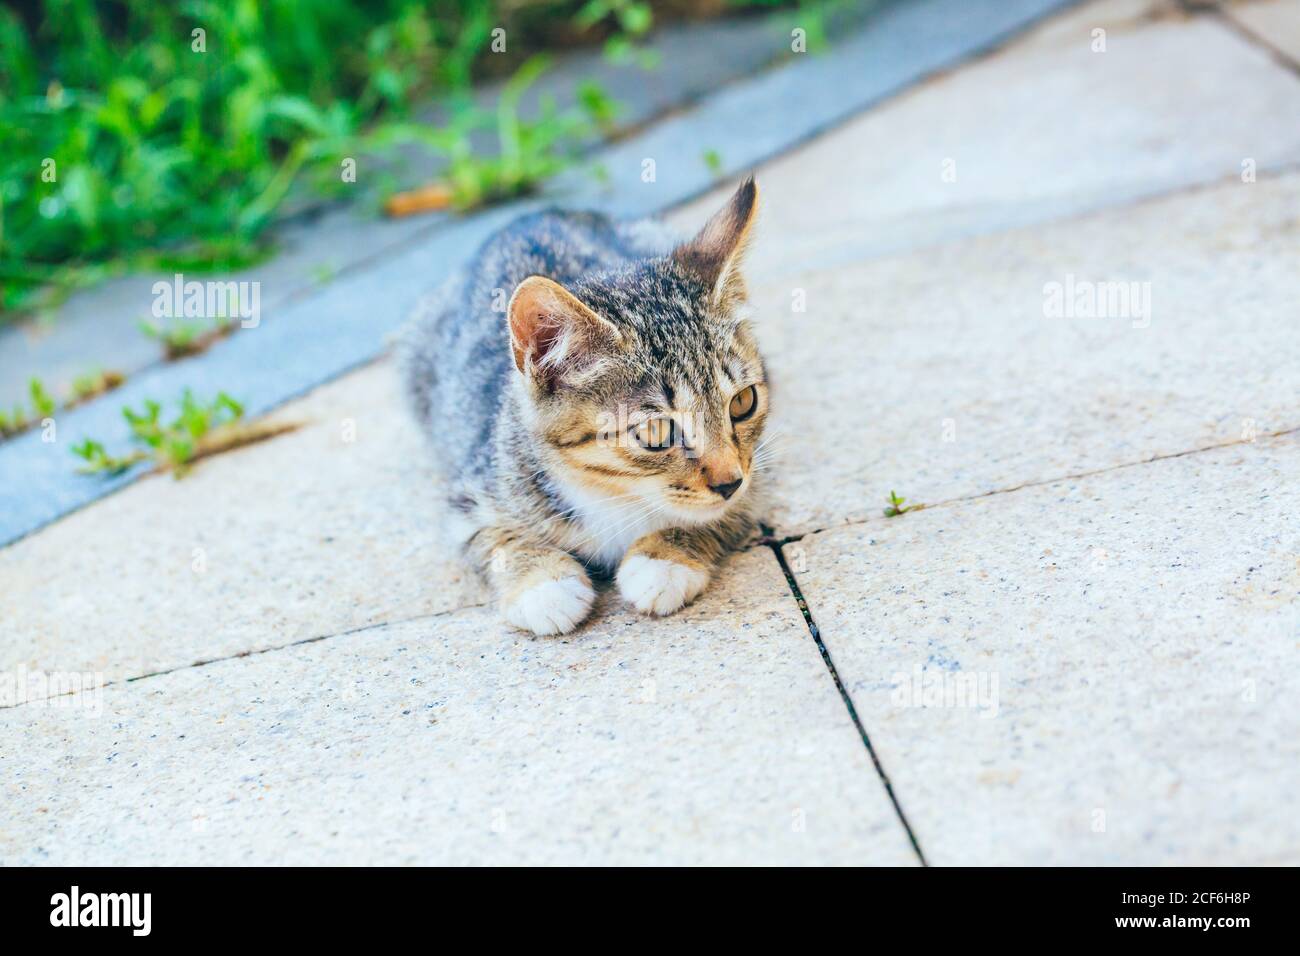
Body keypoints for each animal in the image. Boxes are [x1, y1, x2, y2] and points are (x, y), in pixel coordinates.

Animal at [395, 178, 759, 634]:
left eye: (743, 403)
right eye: (655, 432)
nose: (729, 482)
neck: (614, 494)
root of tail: (527, 216)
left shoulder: (758, 473)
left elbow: (730, 510)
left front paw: (663, 559)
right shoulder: (471, 495)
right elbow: (492, 538)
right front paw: (543, 585)